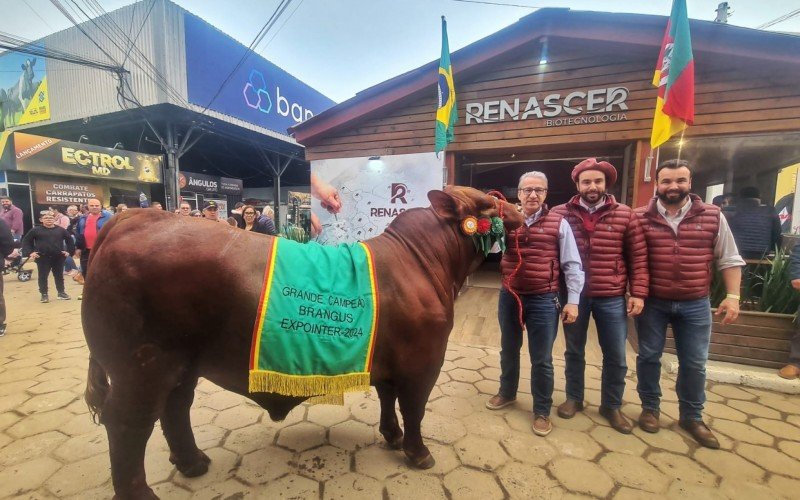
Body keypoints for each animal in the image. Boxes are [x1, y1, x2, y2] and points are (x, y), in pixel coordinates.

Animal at [79, 186, 520, 498]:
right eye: (491, 202)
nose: (519, 207)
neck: (423, 262)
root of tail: (134, 218)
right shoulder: (422, 363)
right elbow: (413, 409)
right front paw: (418, 453)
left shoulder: (389, 364)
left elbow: (387, 399)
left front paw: (391, 437)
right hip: (141, 366)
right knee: (128, 423)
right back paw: (143, 491)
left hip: (180, 364)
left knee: (175, 408)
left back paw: (193, 463)